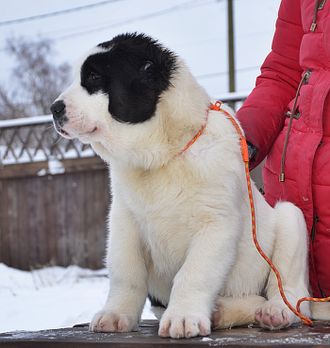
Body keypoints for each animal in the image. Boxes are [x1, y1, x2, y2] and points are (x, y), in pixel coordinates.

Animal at [51, 32, 310, 338]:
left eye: (93, 77)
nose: (54, 109)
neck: (161, 157)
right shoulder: (124, 221)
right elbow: (125, 273)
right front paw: (115, 314)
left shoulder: (215, 223)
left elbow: (193, 273)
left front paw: (184, 318)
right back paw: (223, 312)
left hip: (290, 218)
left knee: (289, 292)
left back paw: (274, 311)